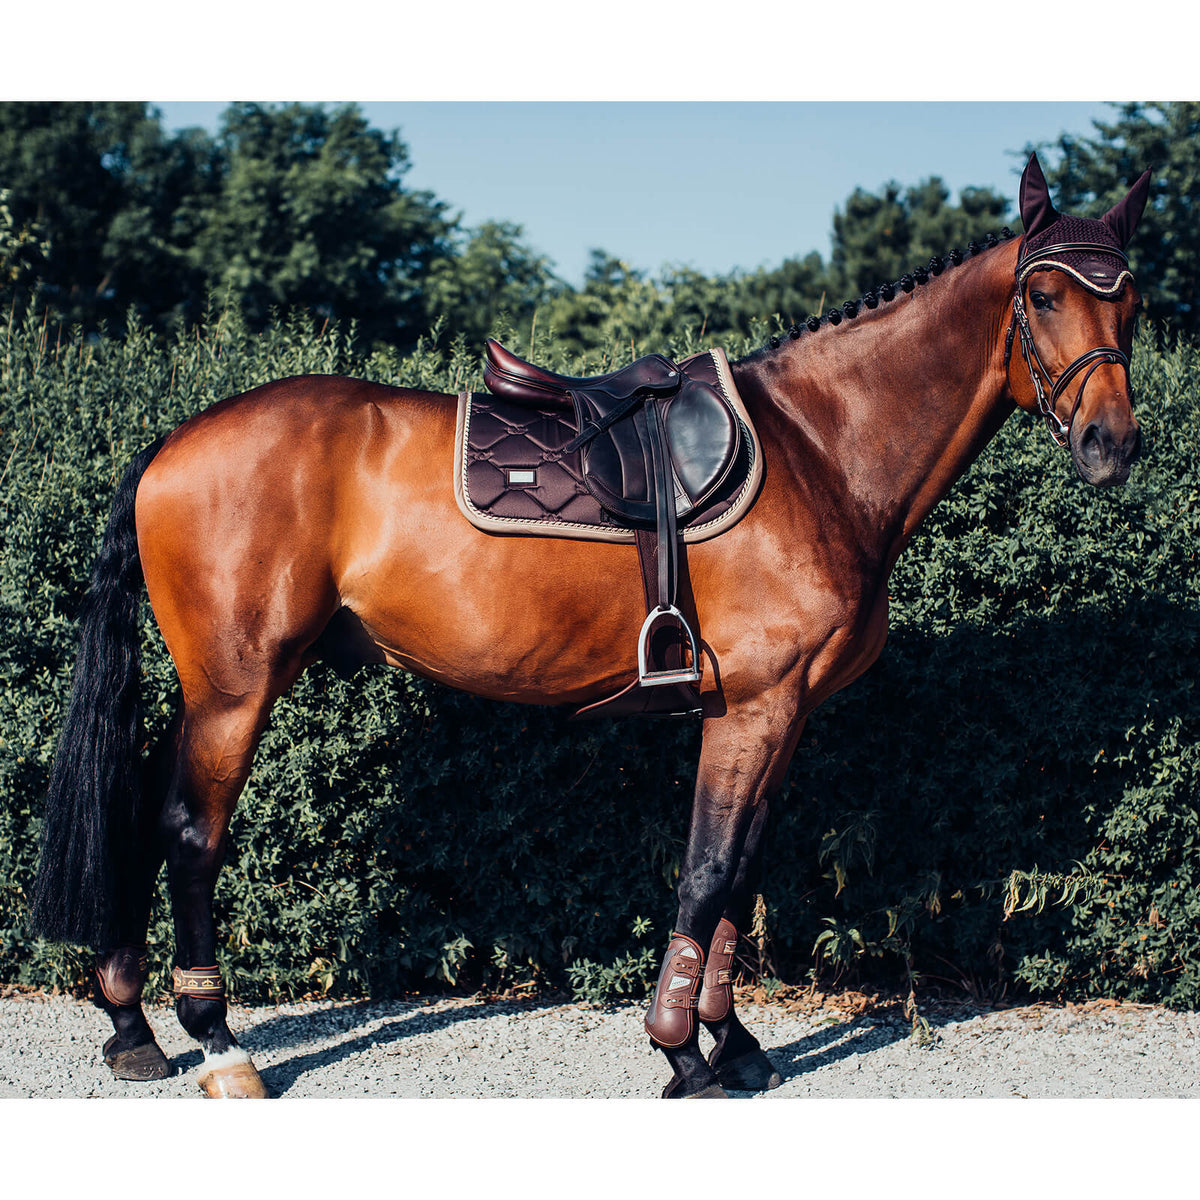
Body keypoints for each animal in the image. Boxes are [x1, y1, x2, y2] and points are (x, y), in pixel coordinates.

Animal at [30, 152, 1152, 1098]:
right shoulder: (752, 708)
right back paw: (217, 1042)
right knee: (191, 831)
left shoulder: (784, 713)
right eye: (1042, 295)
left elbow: (740, 875)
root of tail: (175, 440)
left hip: (212, 687)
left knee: (142, 809)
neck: (820, 450)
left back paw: (133, 1027)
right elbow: (707, 871)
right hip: (238, 684)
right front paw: (681, 1051)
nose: (1112, 443)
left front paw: (733, 1042)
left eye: (1132, 299)